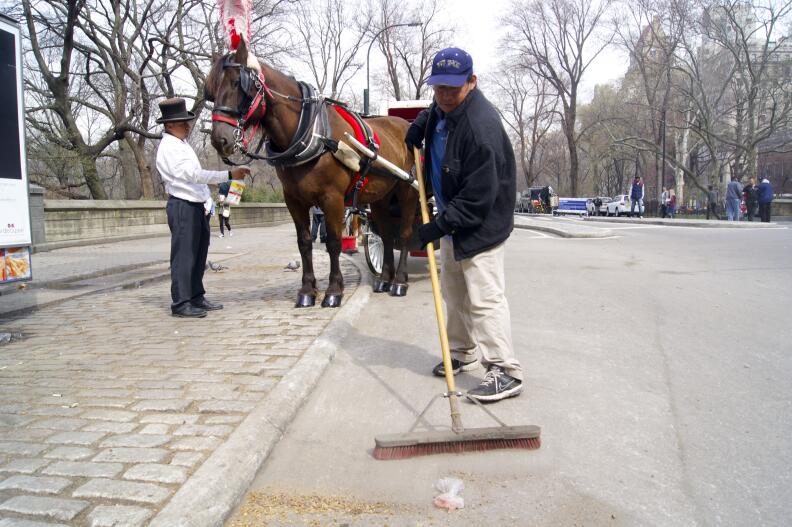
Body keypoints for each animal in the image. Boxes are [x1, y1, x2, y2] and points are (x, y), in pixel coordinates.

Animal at [204, 41, 420, 310]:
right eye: (211, 90)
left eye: (237, 83)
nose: (219, 139)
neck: (313, 134)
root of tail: (405, 124)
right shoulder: (294, 200)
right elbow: (304, 242)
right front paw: (307, 290)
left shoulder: (332, 199)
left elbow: (334, 242)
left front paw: (333, 291)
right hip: (381, 197)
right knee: (387, 236)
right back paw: (385, 279)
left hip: (407, 191)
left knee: (404, 234)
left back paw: (399, 282)